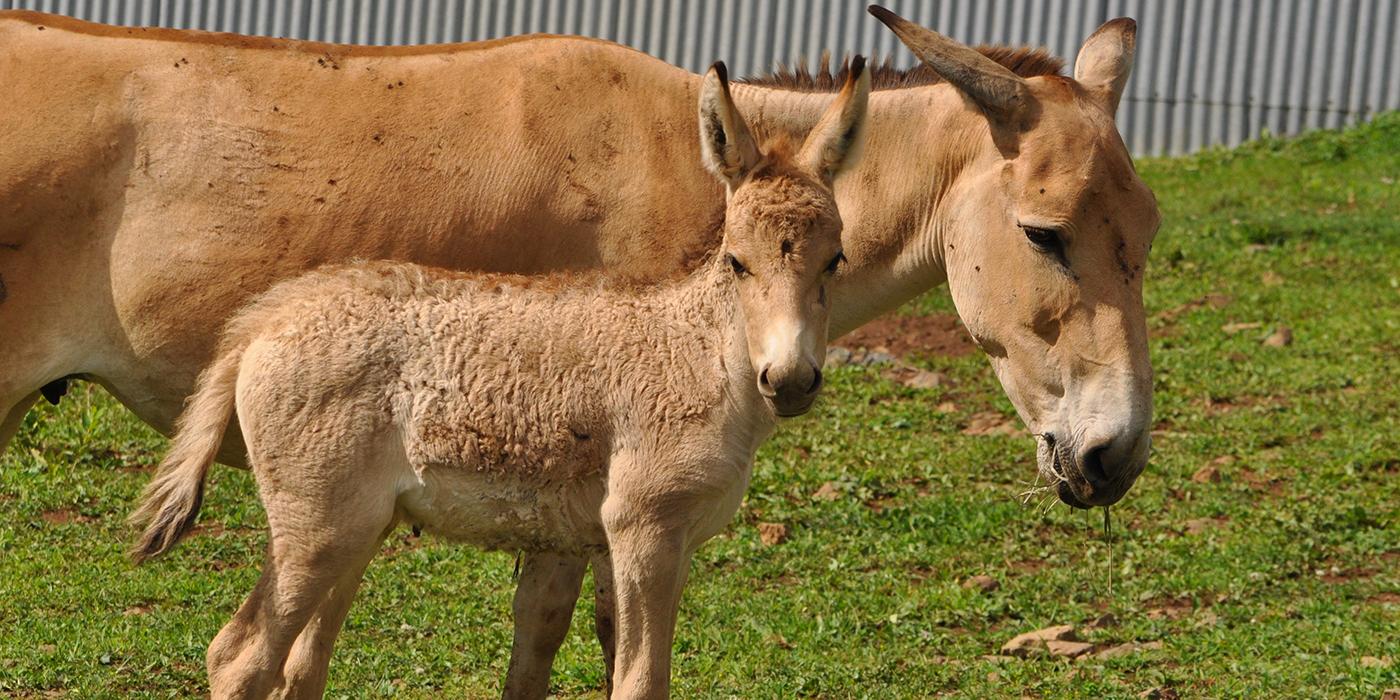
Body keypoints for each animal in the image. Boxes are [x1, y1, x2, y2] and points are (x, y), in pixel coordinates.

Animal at [133, 61, 873, 700]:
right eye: (736, 262)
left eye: (834, 260)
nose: (791, 380)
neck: (702, 356)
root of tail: (266, 318)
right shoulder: (645, 528)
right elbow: (640, 683)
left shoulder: (643, 543)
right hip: (317, 527)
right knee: (239, 657)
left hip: (355, 527)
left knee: (297, 666)